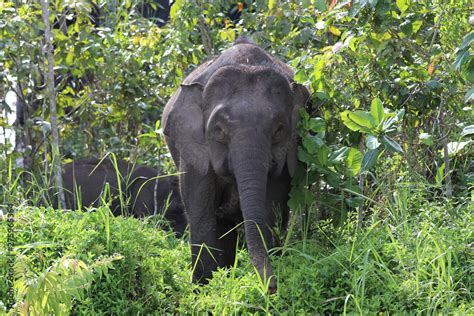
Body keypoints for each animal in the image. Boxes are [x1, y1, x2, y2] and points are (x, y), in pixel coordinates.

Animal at [162, 35, 312, 292]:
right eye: (219, 131)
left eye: (279, 130)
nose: (272, 287)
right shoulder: (192, 149)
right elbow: (202, 212)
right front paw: (204, 290)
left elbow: (271, 206)